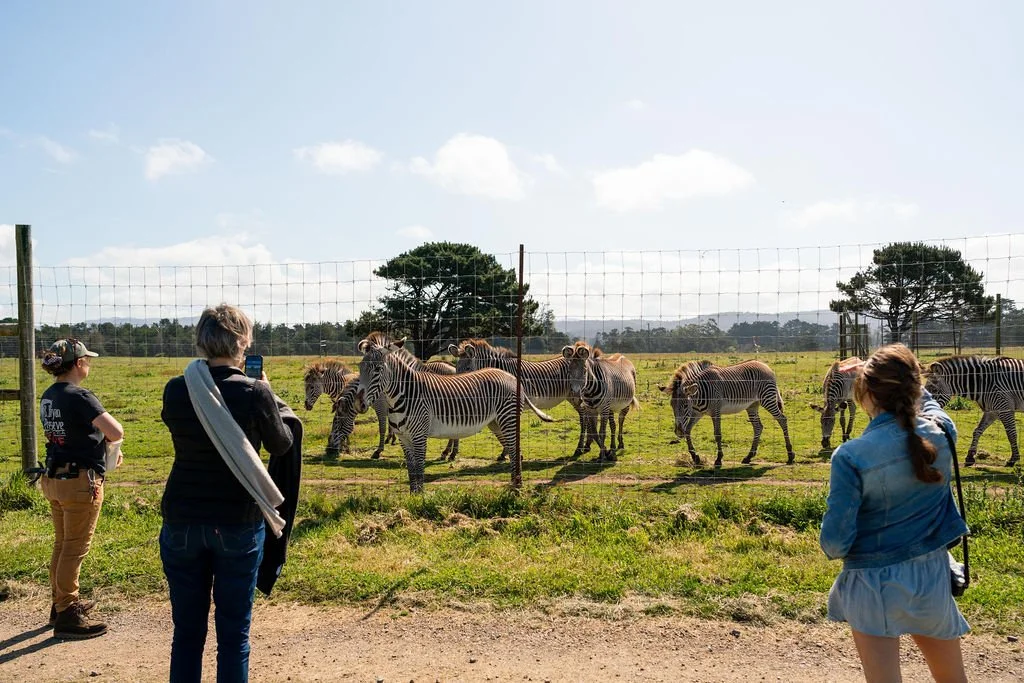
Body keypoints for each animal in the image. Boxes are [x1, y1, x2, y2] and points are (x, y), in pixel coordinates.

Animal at [356, 336, 555, 493]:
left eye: (377, 370)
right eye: (359, 368)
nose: (359, 404)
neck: (403, 395)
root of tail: (512, 377)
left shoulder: (419, 435)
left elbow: (419, 469)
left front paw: (420, 500)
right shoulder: (403, 438)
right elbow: (411, 471)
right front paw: (413, 497)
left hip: (508, 419)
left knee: (514, 449)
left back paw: (517, 487)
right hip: (497, 423)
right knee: (513, 450)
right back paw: (514, 484)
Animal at [447, 338, 599, 459]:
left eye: (467, 368)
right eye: (456, 368)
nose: (458, 391)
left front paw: (509, 453)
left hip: (575, 395)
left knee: (584, 416)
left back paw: (580, 448)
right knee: (587, 414)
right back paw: (587, 445)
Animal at [659, 359, 795, 468]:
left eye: (685, 405)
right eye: (671, 405)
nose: (678, 431)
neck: (699, 394)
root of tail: (764, 365)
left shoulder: (716, 411)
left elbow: (717, 434)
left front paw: (718, 459)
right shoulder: (697, 413)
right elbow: (688, 430)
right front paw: (695, 457)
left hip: (767, 399)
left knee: (782, 419)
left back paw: (790, 455)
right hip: (752, 405)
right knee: (758, 427)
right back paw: (748, 457)